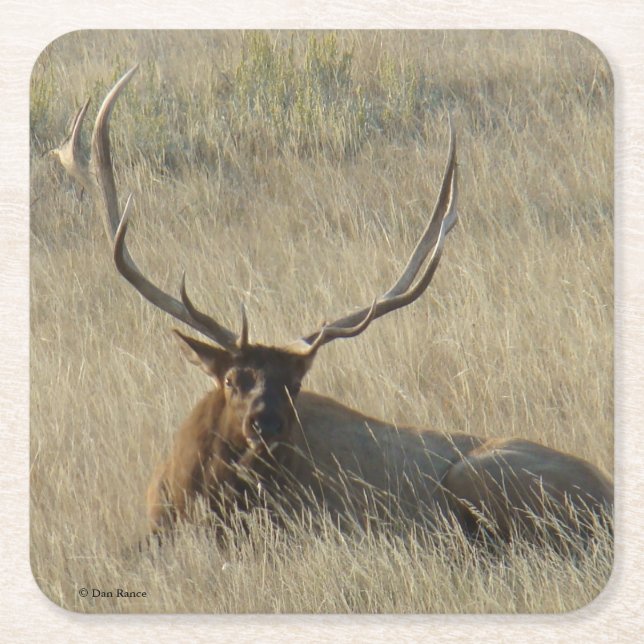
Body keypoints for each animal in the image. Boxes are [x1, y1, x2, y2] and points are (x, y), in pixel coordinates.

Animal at [53, 65, 613, 547]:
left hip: (479, 474)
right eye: (233, 378)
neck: (201, 497)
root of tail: (606, 492)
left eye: (297, 384)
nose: (267, 425)